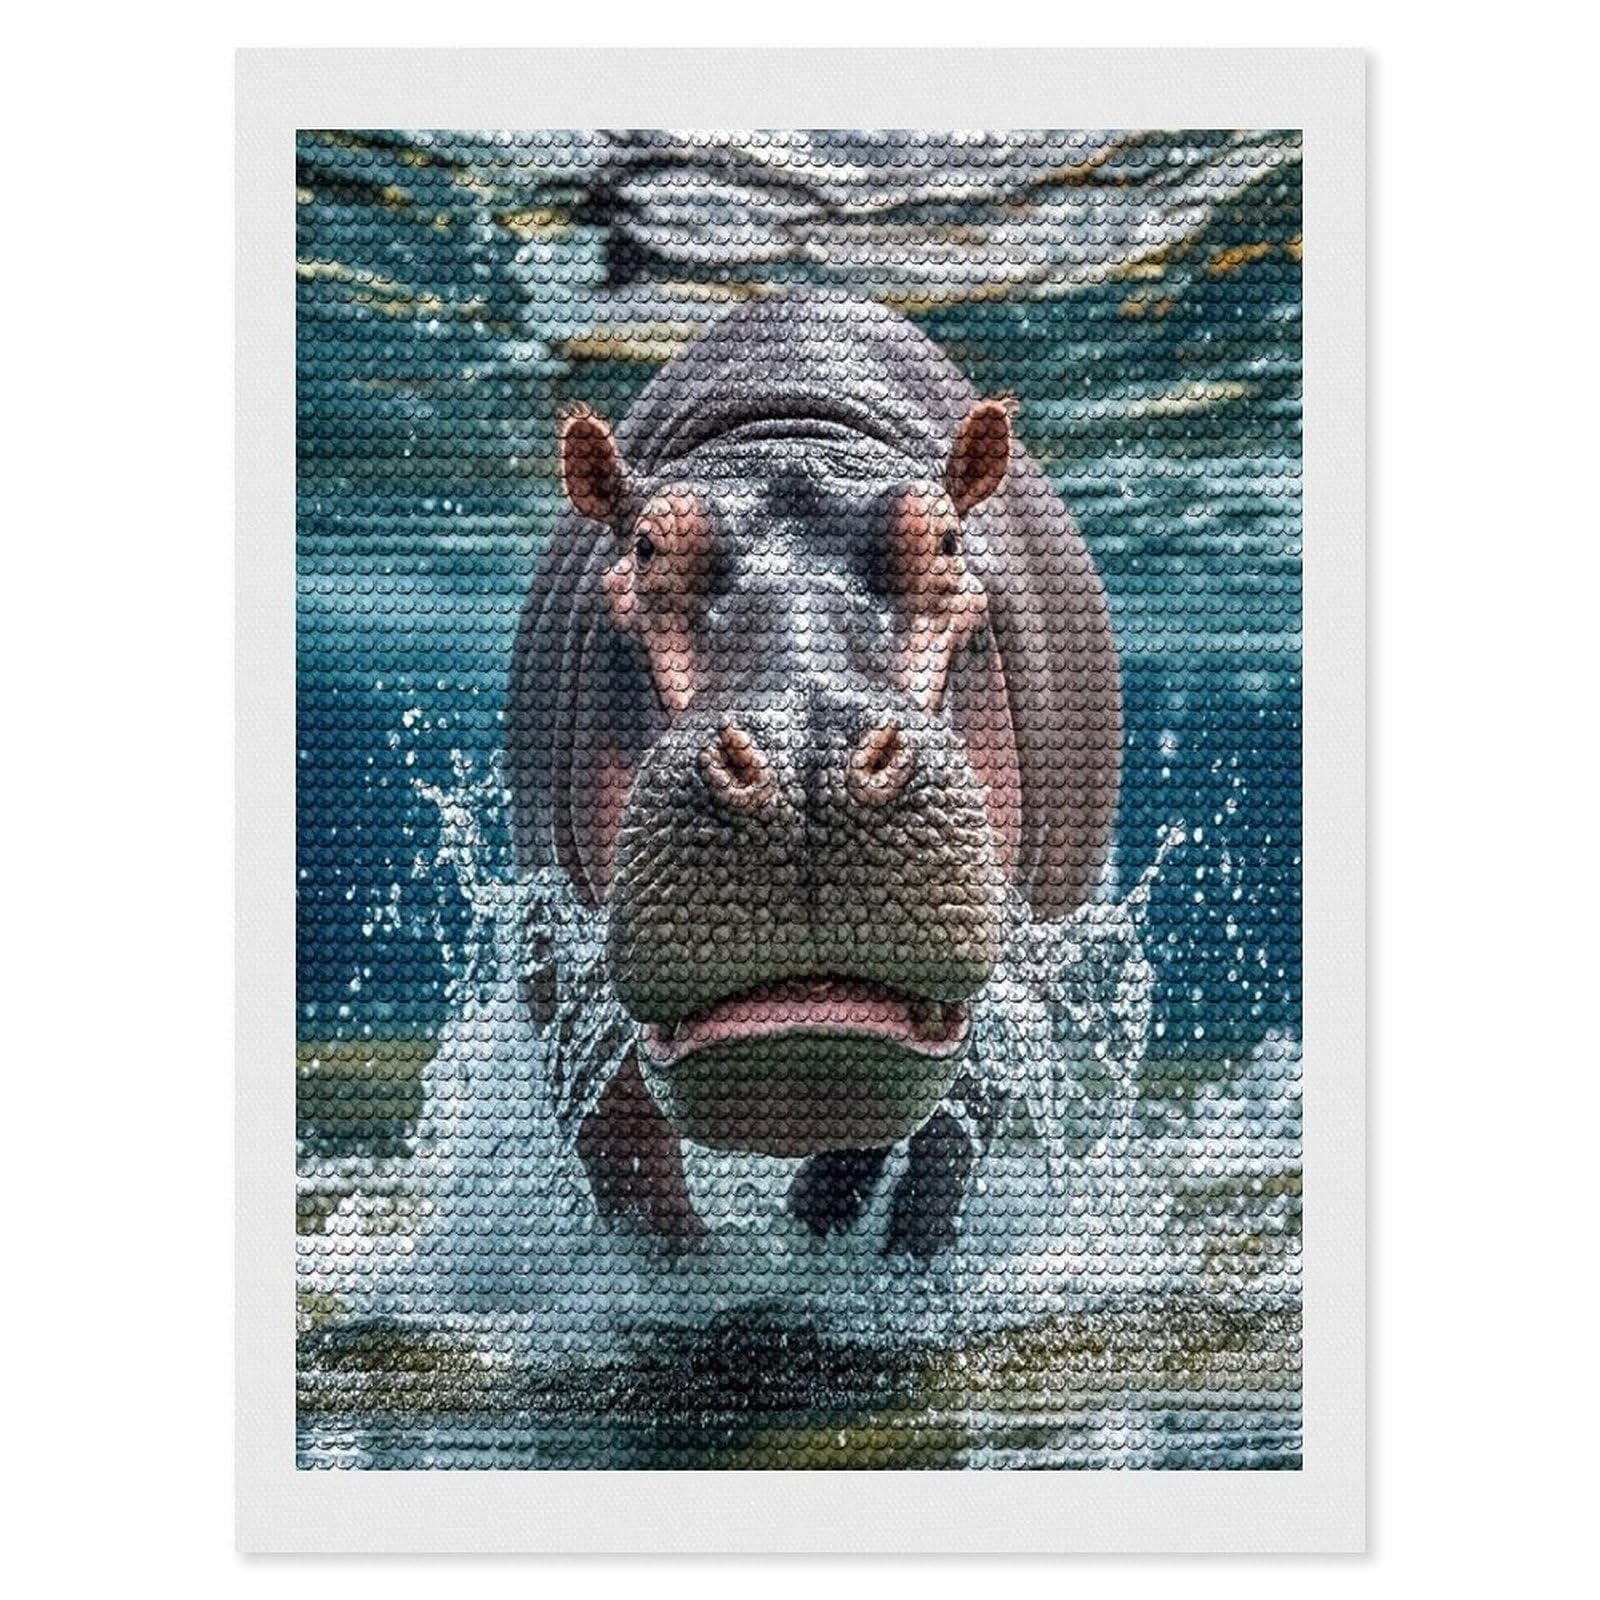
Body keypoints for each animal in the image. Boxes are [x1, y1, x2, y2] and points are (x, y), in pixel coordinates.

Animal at [507, 290, 1120, 1255]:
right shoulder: (554, 951)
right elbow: (628, 1153)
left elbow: (945, 1140)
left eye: (948, 543)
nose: (808, 757)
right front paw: (673, 1273)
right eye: (644, 549)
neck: (789, 427)